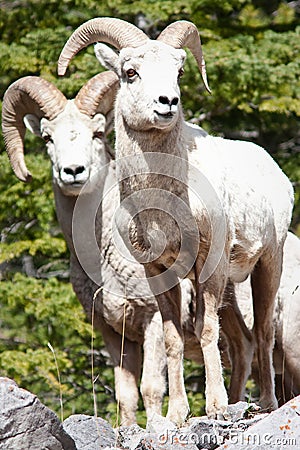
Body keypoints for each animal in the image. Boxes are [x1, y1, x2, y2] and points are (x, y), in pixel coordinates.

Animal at [57, 18, 294, 426]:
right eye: (130, 72)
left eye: (178, 72)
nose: (167, 103)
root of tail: (273, 169)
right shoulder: (157, 272)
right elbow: (172, 339)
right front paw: (178, 414)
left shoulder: (209, 266)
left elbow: (205, 329)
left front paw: (215, 407)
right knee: (244, 342)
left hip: (268, 264)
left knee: (263, 333)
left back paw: (264, 403)